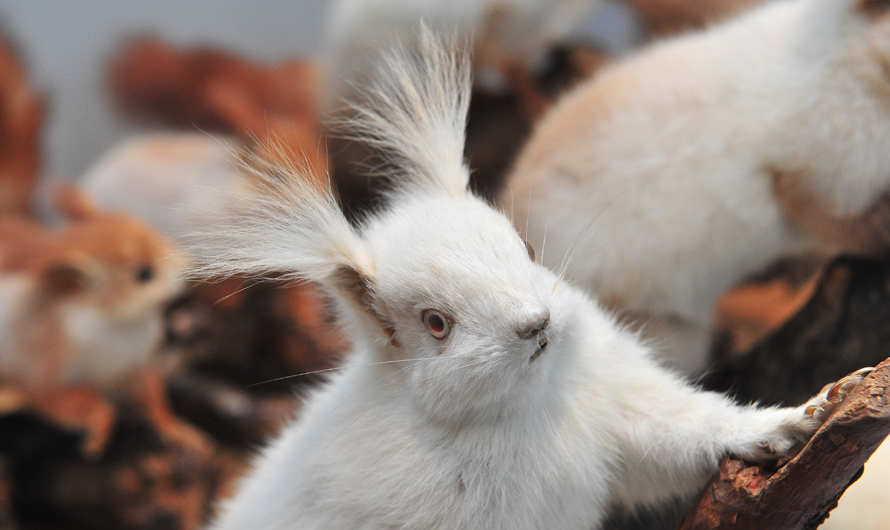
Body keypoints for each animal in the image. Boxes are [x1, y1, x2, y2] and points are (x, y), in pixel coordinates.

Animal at [199, 29, 868, 528]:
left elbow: (692, 432)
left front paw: (794, 421)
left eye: (522, 245)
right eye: (435, 324)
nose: (536, 323)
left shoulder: (624, 413)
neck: (530, 403)